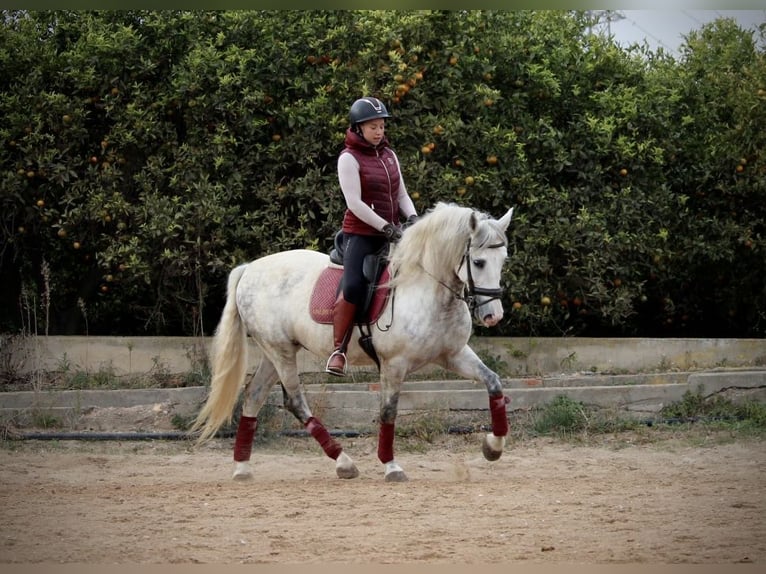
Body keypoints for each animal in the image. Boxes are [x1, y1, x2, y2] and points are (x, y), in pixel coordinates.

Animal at [192, 201, 515, 482]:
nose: (493, 315)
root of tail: (249, 269)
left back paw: (242, 467)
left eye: (503, 261)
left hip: (276, 353)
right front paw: (391, 466)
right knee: (294, 401)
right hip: (280, 351)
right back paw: (343, 462)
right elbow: (388, 411)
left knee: (254, 395)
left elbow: (494, 382)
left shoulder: (454, 354)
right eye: (478, 262)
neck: (426, 288)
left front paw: (493, 447)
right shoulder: (394, 364)